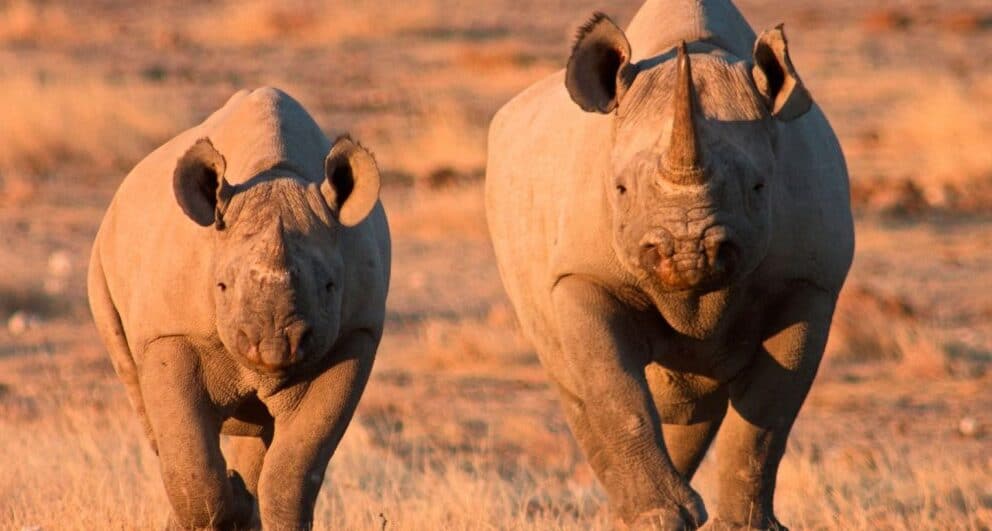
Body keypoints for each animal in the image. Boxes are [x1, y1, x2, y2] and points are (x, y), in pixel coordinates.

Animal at [88, 87, 390, 529]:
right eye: (222, 287)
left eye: (330, 287)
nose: (275, 345)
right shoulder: (171, 332)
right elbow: (190, 461)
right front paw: (228, 500)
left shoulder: (354, 336)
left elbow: (294, 470)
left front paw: (248, 502)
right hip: (102, 263)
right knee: (148, 408)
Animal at [486, 1, 853, 529]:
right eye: (619, 189)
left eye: (760, 187)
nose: (687, 251)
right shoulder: (581, 274)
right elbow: (615, 390)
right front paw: (658, 517)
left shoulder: (808, 282)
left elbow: (767, 415)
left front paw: (742, 526)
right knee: (575, 385)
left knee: (693, 401)